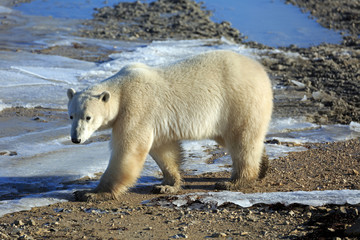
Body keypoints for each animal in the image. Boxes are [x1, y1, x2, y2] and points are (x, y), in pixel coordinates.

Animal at [67, 50, 272, 201]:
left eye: (88, 117)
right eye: (71, 116)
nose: (75, 139)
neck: (122, 87)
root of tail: (261, 72)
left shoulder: (136, 107)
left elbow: (128, 149)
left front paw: (90, 192)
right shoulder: (153, 120)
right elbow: (163, 149)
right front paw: (166, 185)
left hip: (239, 101)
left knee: (241, 140)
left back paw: (235, 181)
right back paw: (263, 166)